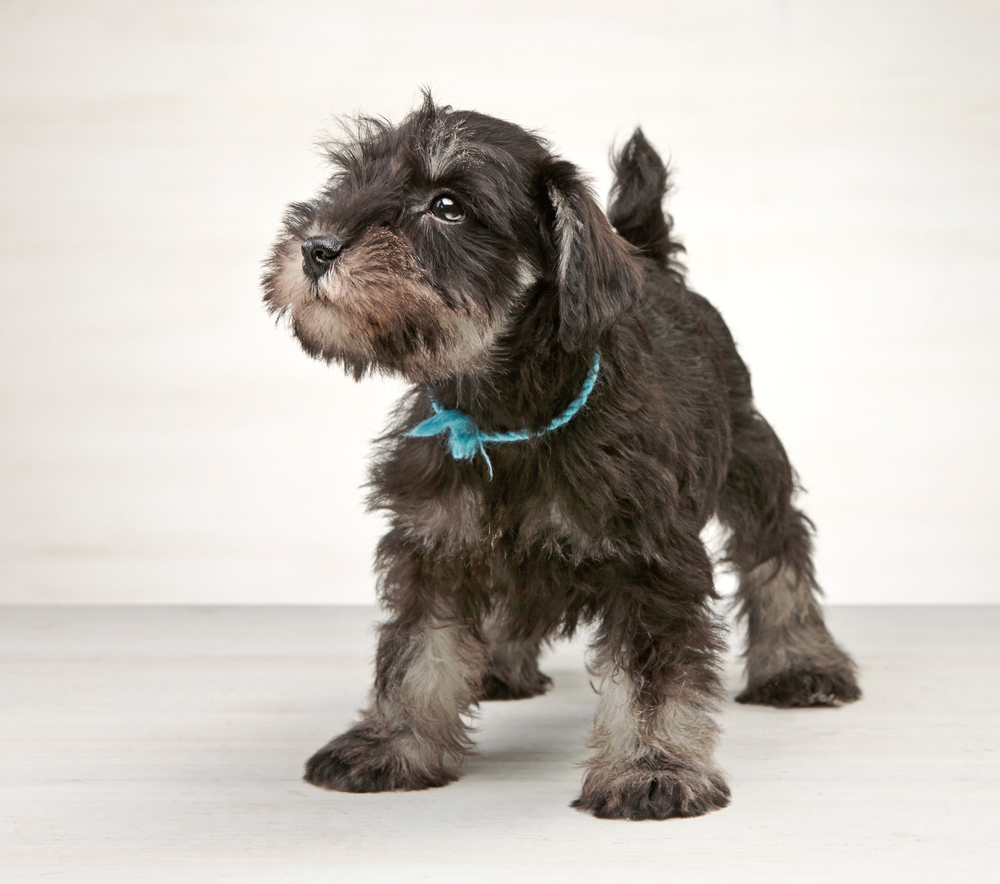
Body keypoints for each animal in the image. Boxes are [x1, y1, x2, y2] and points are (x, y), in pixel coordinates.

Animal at [264, 96, 860, 820]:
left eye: (447, 205)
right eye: (349, 180)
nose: (315, 247)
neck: (502, 417)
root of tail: (651, 260)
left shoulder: (651, 562)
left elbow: (653, 676)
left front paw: (652, 768)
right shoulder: (433, 543)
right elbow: (416, 653)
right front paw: (390, 745)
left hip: (751, 456)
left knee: (776, 549)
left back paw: (801, 662)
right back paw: (496, 663)